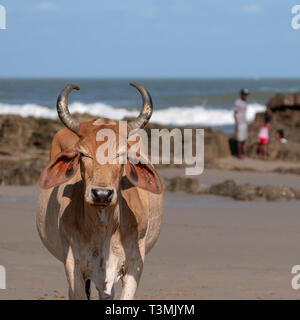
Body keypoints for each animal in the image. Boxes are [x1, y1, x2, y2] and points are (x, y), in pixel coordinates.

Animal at [37, 83, 165, 300]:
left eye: (122, 154)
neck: (103, 227)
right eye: (83, 154)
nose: (102, 194)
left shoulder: (134, 264)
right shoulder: (73, 265)